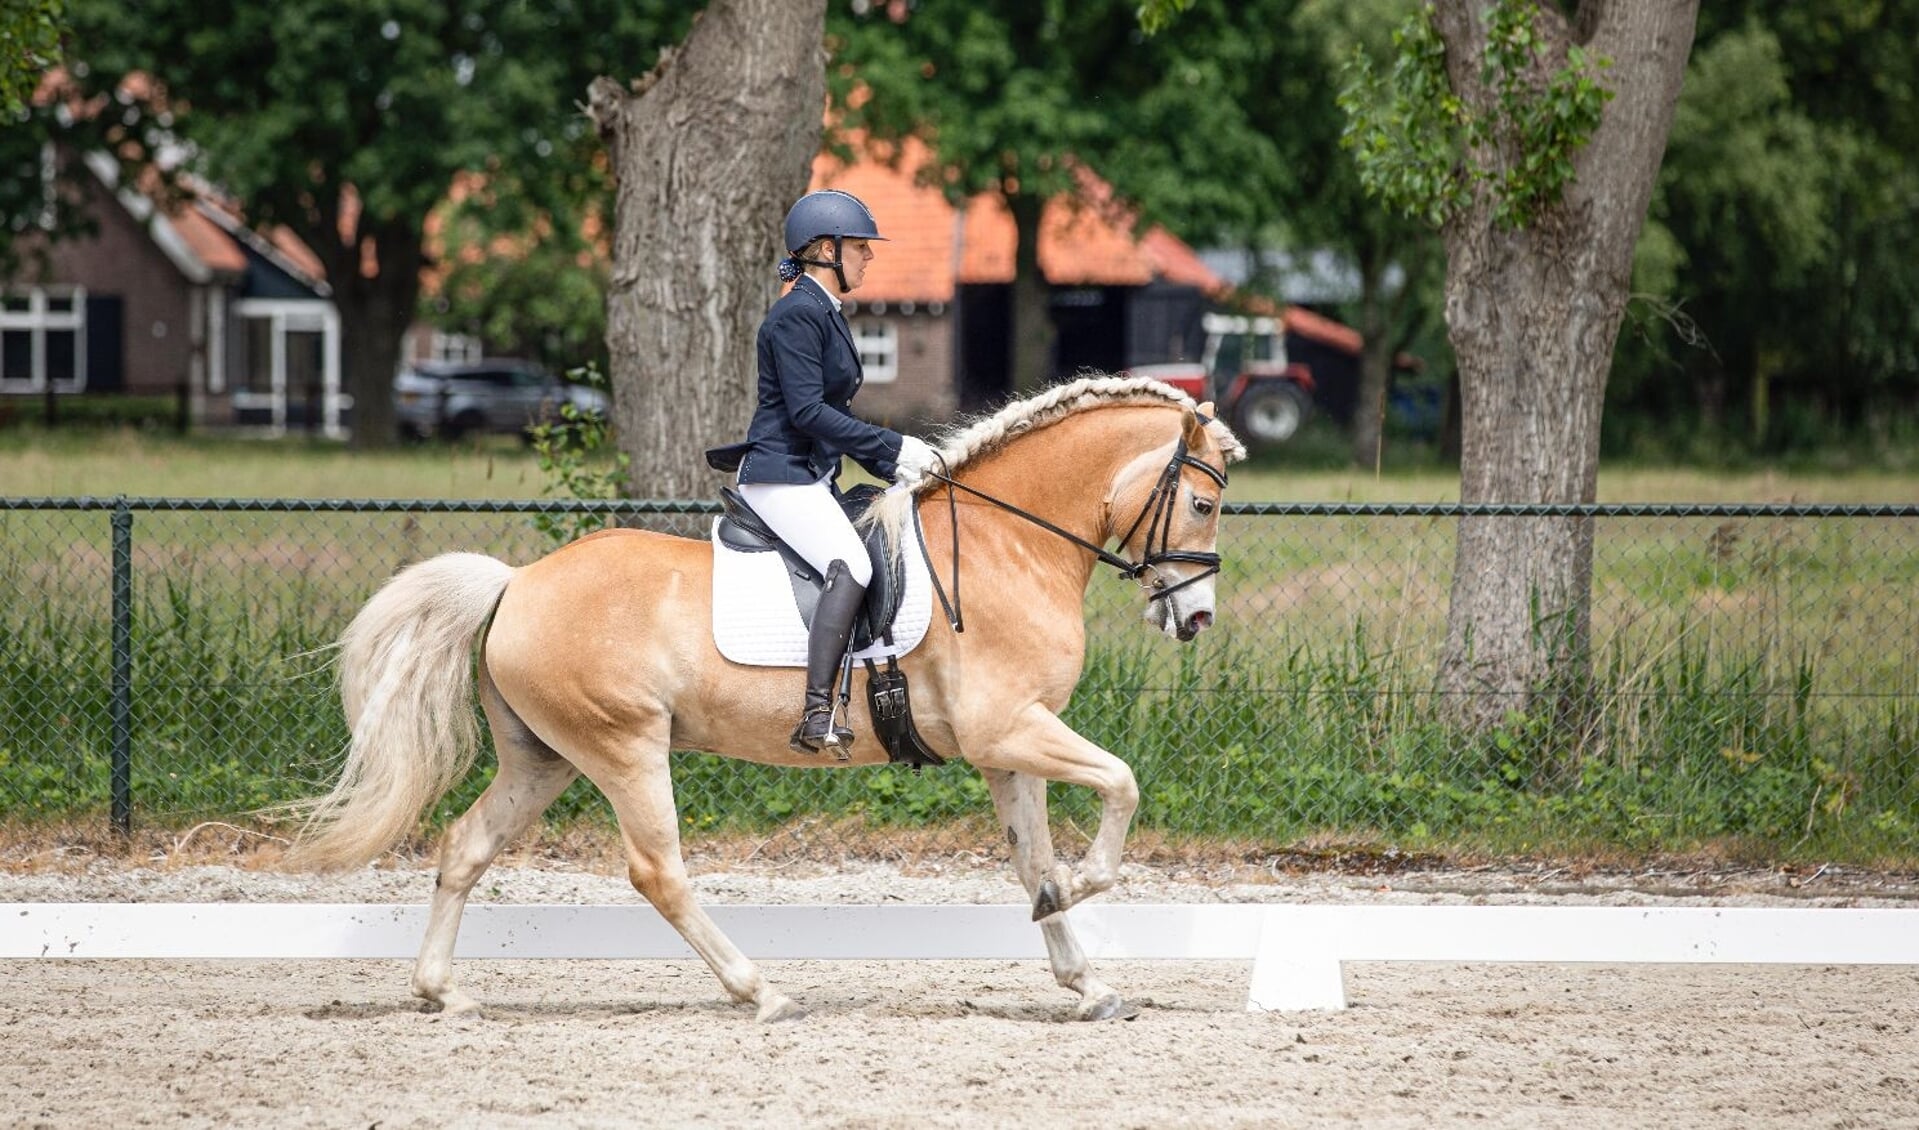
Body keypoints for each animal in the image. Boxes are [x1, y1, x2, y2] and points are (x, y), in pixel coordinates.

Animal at [284, 374, 1243, 1020]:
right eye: (1201, 504)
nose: (1194, 616)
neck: (1006, 544)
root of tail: (516, 583)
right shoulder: (1009, 728)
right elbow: (1120, 785)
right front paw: (1084, 890)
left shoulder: (1008, 745)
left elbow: (1032, 860)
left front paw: (1084, 978)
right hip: (623, 747)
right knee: (658, 871)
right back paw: (762, 992)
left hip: (543, 757)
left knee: (465, 847)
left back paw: (441, 993)